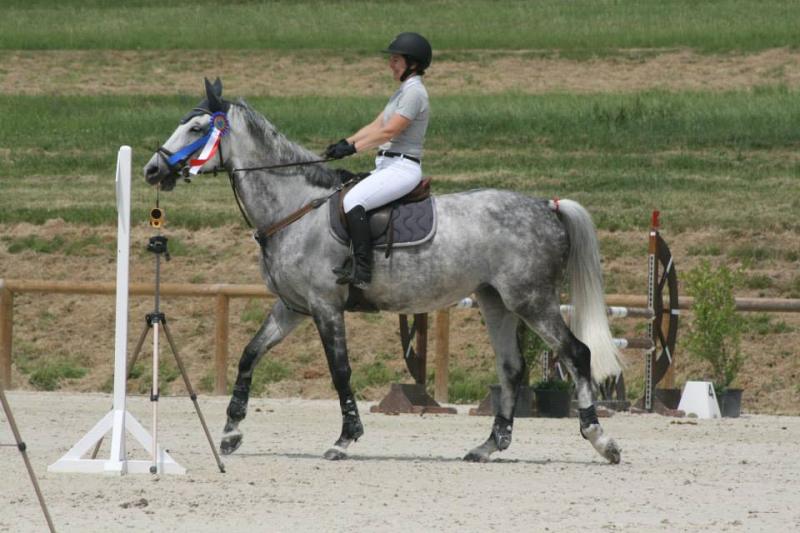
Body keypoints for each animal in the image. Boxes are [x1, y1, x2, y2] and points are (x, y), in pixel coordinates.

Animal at [144, 79, 623, 464]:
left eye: (197, 129)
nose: (152, 170)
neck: (294, 209)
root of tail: (546, 205)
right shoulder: (291, 307)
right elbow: (249, 355)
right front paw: (230, 432)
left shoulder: (325, 307)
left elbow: (340, 370)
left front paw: (344, 440)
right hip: (496, 302)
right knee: (511, 368)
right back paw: (489, 446)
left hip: (532, 299)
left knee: (576, 353)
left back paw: (601, 439)